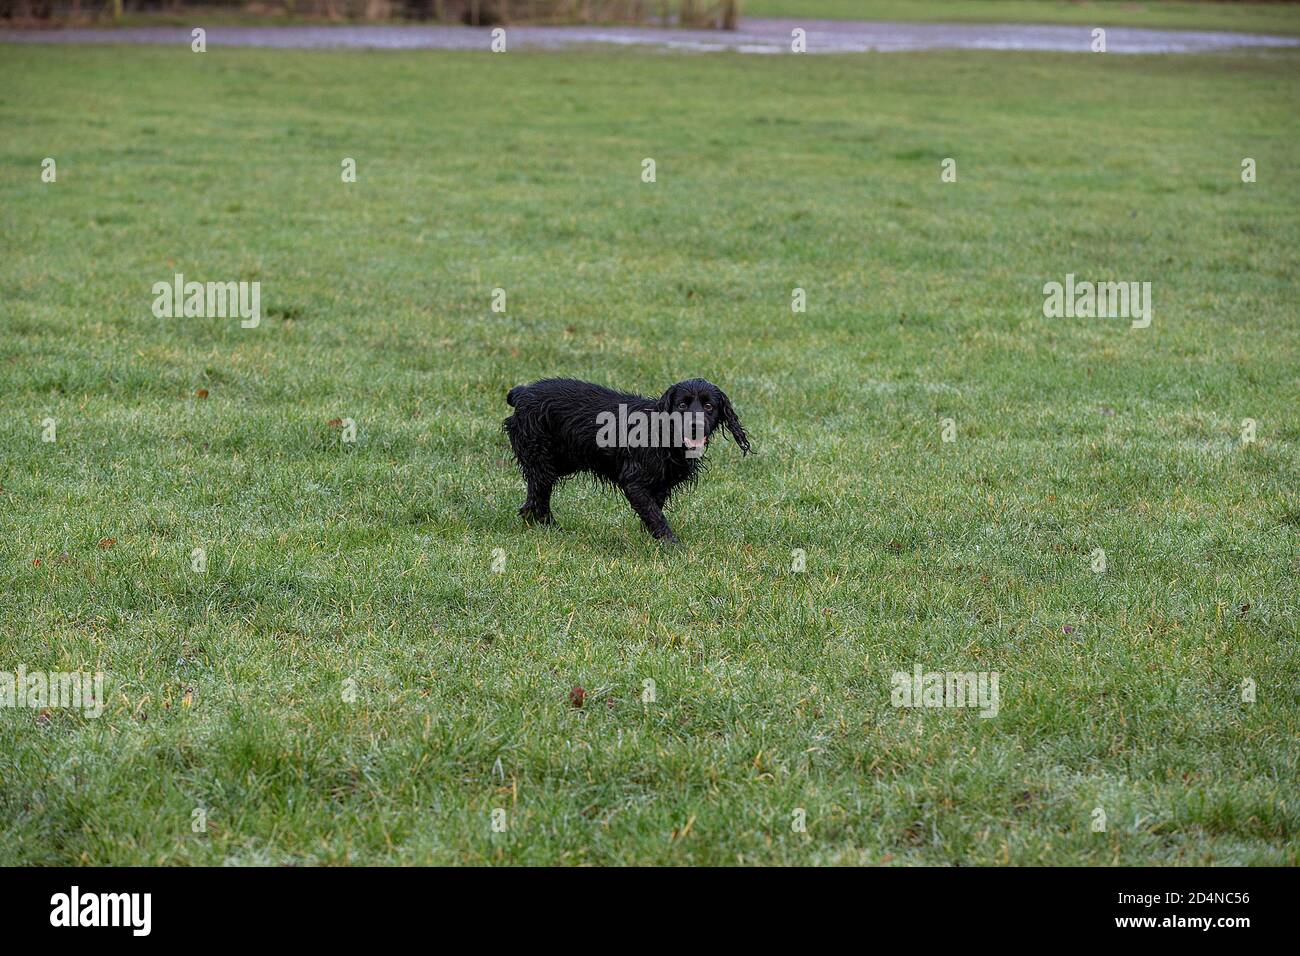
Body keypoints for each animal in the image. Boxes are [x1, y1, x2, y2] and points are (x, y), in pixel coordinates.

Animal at [504, 382, 754, 546]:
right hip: (542, 462)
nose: (696, 425)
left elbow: (653, 511)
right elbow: (655, 515)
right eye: (682, 405)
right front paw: (671, 544)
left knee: (530, 503)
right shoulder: (634, 483)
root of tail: (521, 392)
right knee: (538, 501)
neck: (663, 435)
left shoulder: (660, 485)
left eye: (709, 406)